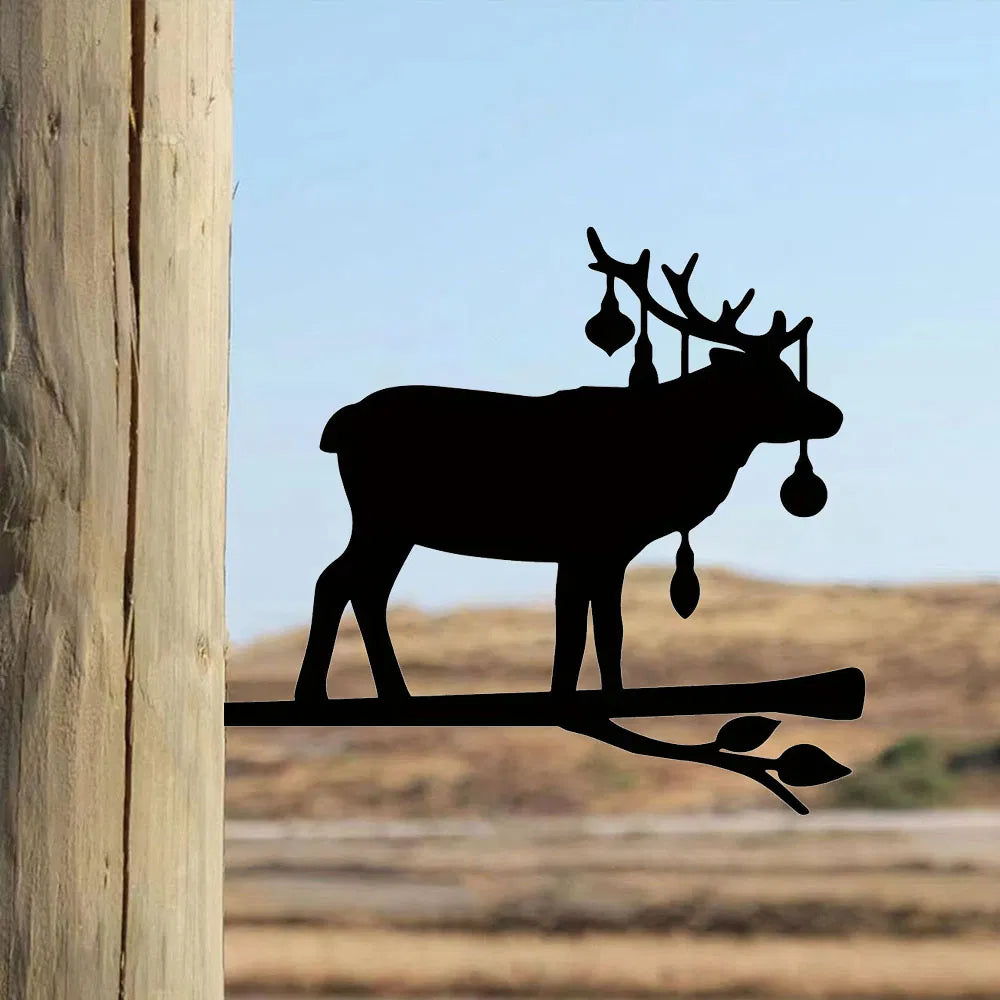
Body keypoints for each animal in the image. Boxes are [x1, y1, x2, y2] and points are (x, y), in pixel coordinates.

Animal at [293, 231, 843, 705]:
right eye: (770, 383)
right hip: (382, 516)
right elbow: (575, 634)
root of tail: (338, 426)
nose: (833, 414)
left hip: (392, 524)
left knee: (362, 587)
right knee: (339, 580)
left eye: (791, 371)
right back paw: (318, 693)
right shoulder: (584, 540)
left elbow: (608, 632)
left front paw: (612, 697)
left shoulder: (610, 550)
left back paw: (386, 693)